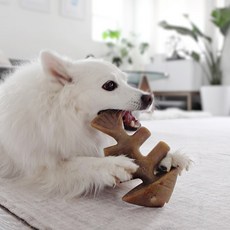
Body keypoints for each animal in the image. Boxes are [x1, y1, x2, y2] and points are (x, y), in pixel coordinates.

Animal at [0, 50, 190, 198]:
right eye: (110, 85)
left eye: (126, 81)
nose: (149, 97)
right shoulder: (44, 169)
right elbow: (81, 162)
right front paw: (112, 164)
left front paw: (168, 157)